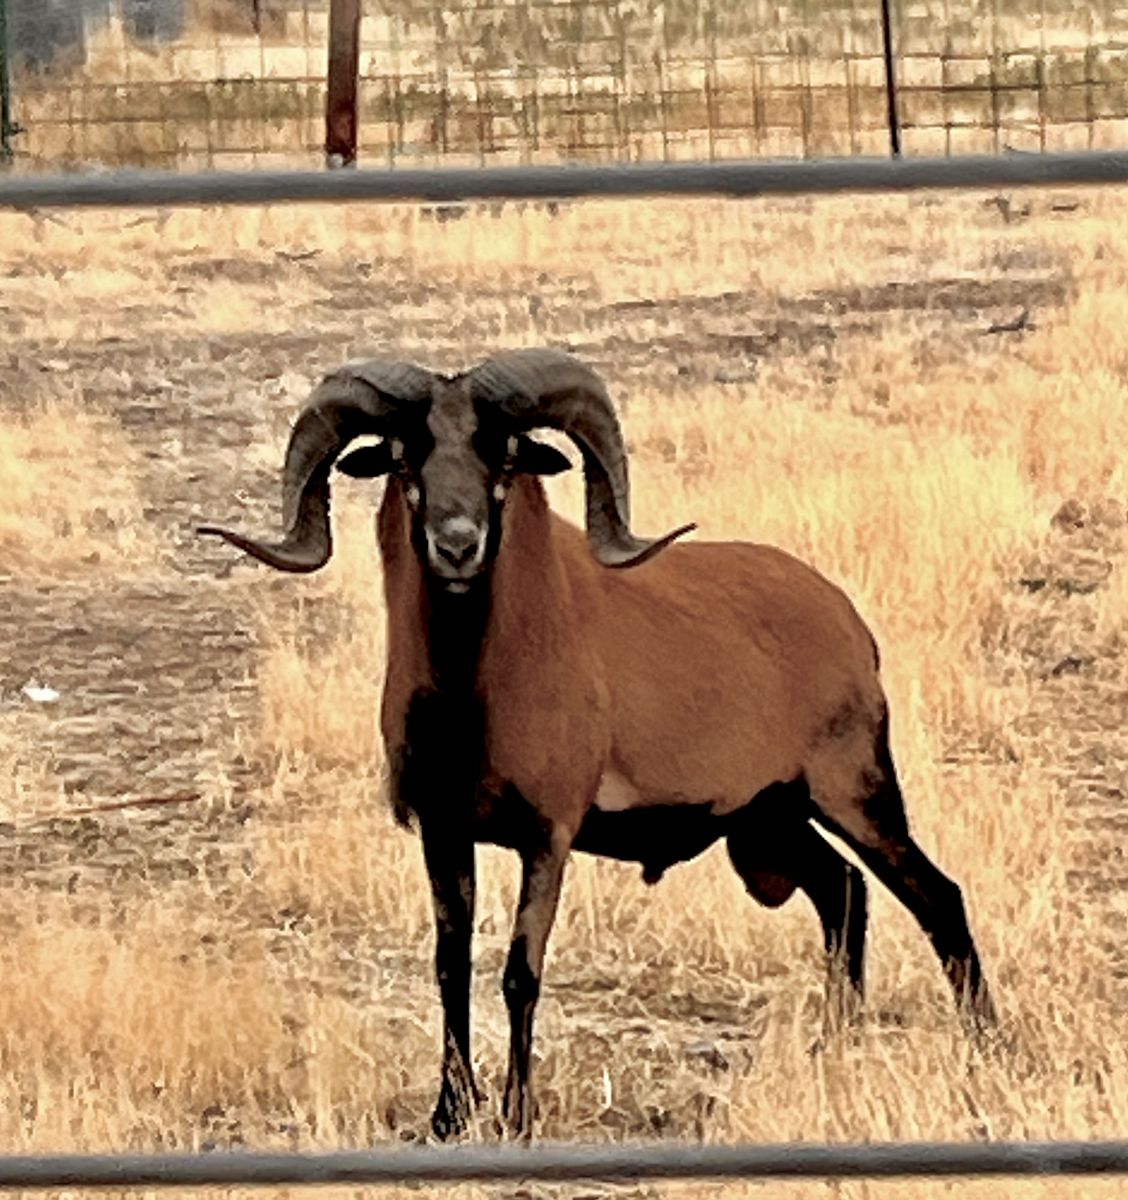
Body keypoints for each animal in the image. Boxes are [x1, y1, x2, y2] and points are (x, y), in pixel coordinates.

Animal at [199, 347, 995, 1140]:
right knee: (844, 895)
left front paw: (518, 1116)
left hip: (855, 798)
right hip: (770, 821)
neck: (471, 696)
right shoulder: (443, 834)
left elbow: (520, 972)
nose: (457, 545)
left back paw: (983, 1047)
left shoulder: (547, 838)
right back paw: (834, 1050)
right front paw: (450, 1113)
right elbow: (451, 966)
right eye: (402, 455)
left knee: (937, 899)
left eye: (504, 454)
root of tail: (849, 626)